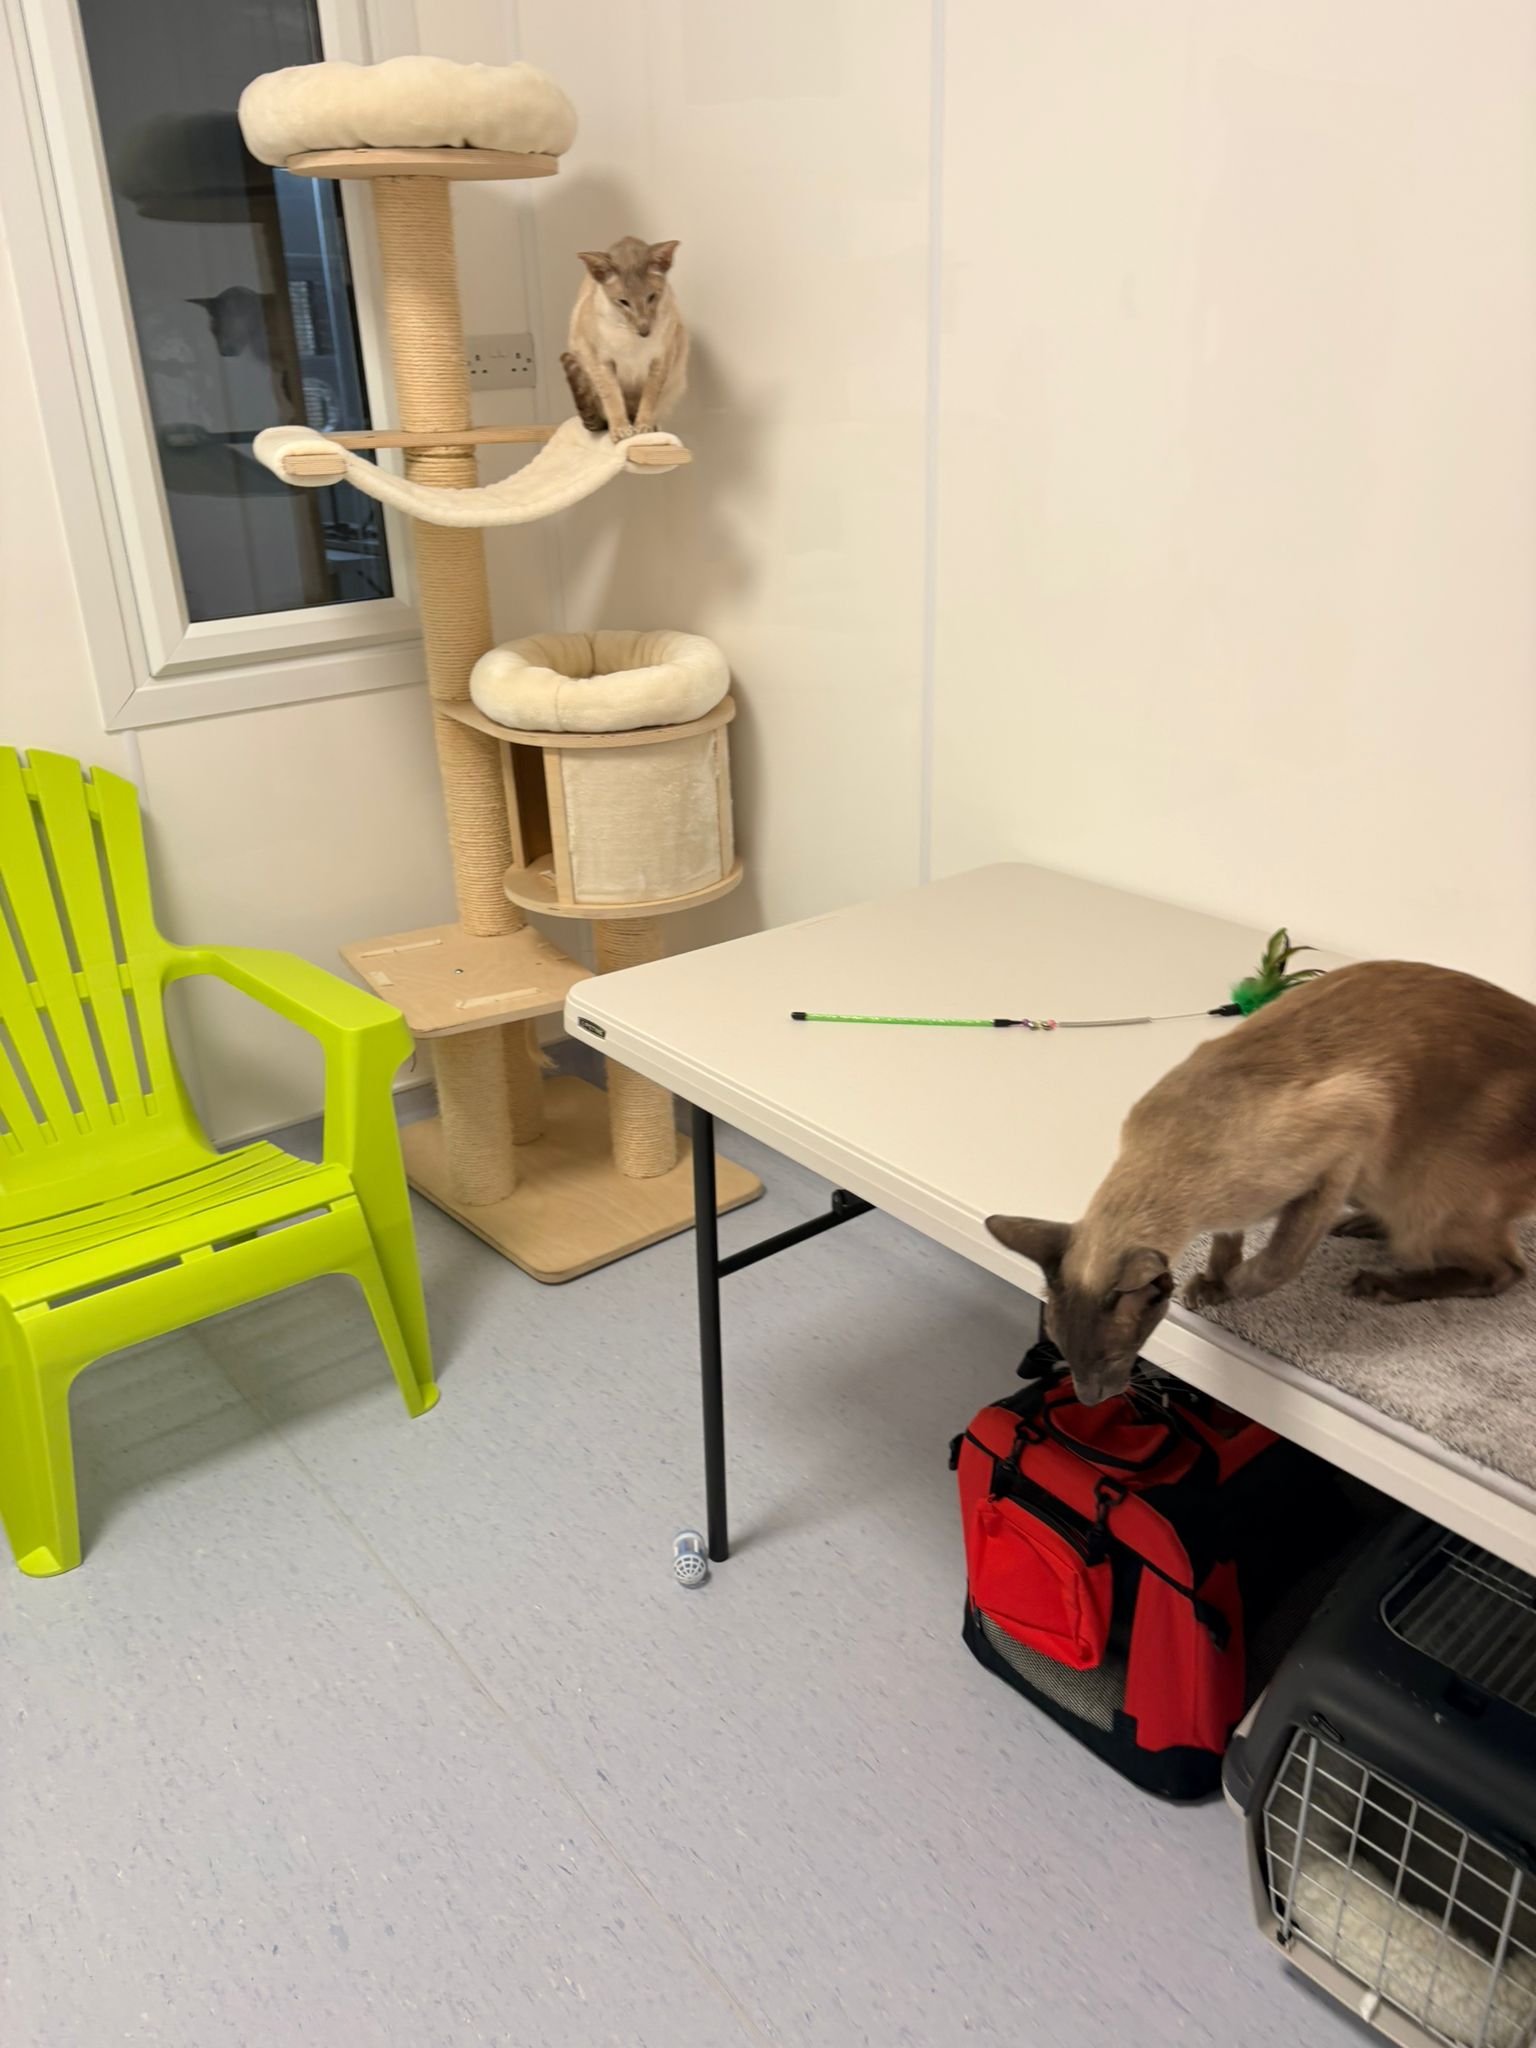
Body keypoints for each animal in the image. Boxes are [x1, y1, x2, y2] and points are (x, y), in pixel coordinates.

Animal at [560, 237, 688, 441]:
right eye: (623, 302)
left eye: (651, 297)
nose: (644, 330)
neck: (632, 339)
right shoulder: (601, 362)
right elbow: (613, 398)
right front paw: (621, 431)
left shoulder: (661, 360)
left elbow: (649, 398)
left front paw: (643, 429)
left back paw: (653, 427)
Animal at [985, 960, 1536, 1405]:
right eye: (1062, 1352)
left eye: (1112, 1358)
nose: (1088, 1399)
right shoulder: (1240, 1208)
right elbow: (1227, 1243)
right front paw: (1210, 1284)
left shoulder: (1348, 1141)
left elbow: (1275, 1264)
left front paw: (1231, 1289)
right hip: (1388, 1189)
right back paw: (1361, 1227)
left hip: (1422, 1198)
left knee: (1504, 1270)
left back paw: (1379, 1283)